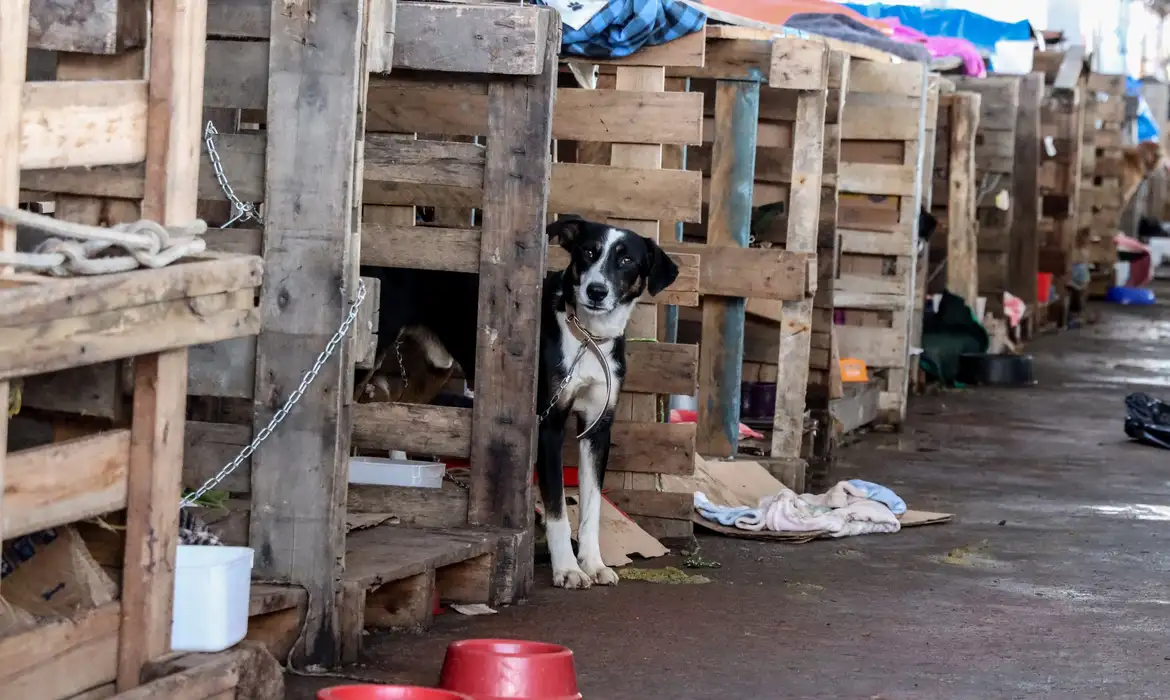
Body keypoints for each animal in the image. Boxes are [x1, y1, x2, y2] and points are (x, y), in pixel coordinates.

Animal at [360, 216, 683, 589]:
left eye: (627, 260)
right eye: (588, 252)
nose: (596, 291)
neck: (587, 338)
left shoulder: (597, 429)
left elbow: (591, 508)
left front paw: (593, 563)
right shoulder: (548, 425)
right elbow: (557, 509)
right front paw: (567, 569)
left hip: (435, 368)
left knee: (400, 412)